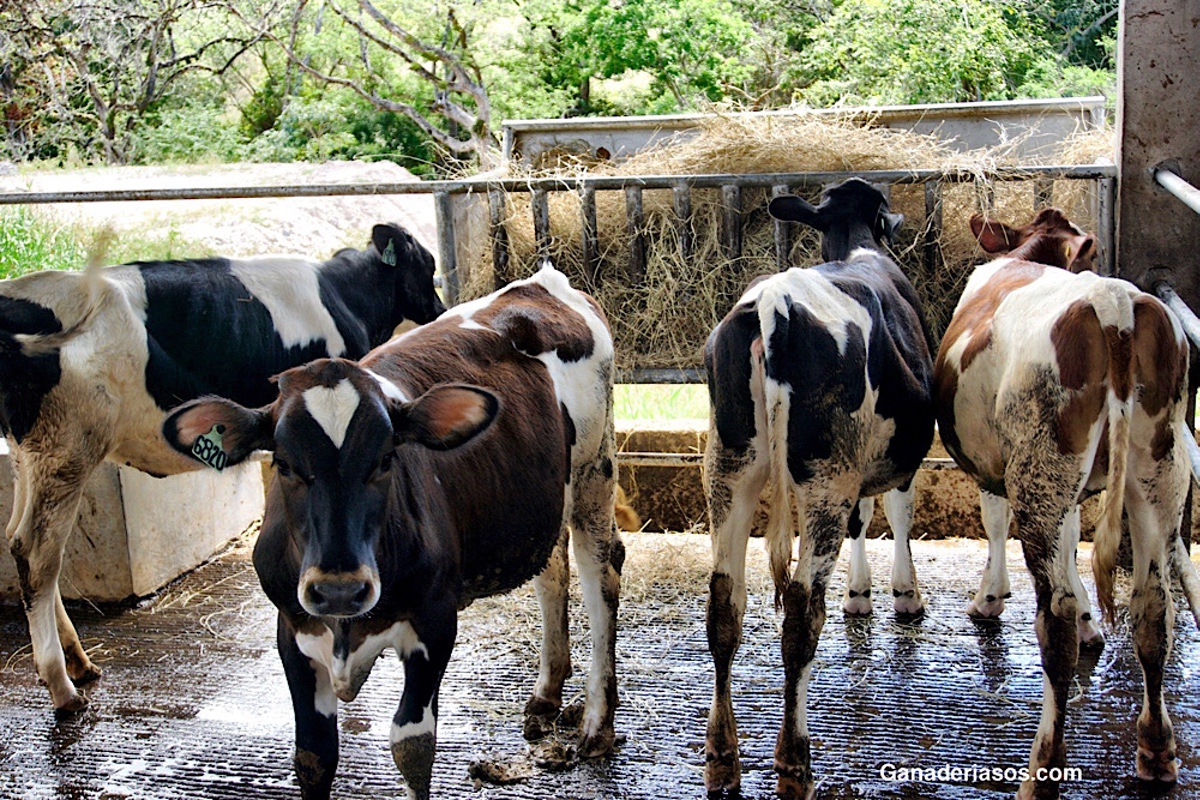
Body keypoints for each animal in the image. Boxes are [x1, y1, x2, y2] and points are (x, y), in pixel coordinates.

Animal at [2, 224, 444, 714]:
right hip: (69, 446)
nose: (440, 310)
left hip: (30, 455)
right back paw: (61, 684)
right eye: (428, 265)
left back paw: (79, 662)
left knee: (18, 541)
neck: (345, 295)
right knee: (38, 554)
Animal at [164, 263, 624, 800]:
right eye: (284, 464)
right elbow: (313, 756)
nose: (339, 589)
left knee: (600, 577)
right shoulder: (291, 631)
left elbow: (412, 746)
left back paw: (597, 722)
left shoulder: (435, 621)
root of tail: (540, 282)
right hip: (544, 498)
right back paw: (547, 693)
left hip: (594, 472)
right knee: (551, 571)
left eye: (386, 460)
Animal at [700, 181, 936, 800]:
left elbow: (866, 519)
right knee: (802, 615)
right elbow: (895, 512)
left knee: (724, 604)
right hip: (826, 478)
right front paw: (901, 595)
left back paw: (722, 755)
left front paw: (863, 593)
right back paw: (794, 758)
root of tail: (773, 303)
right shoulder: (896, 457)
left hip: (728, 467)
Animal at [931, 209, 1200, 796]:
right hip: (1158, 468)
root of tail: (1113, 304)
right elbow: (1075, 539)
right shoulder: (1072, 492)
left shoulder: (998, 470)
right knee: (1153, 608)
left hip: (1040, 470)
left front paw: (988, 599)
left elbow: (994, 523)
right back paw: (1156, 750)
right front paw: (1090, 623)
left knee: (1053, 624)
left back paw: (1041, 771)